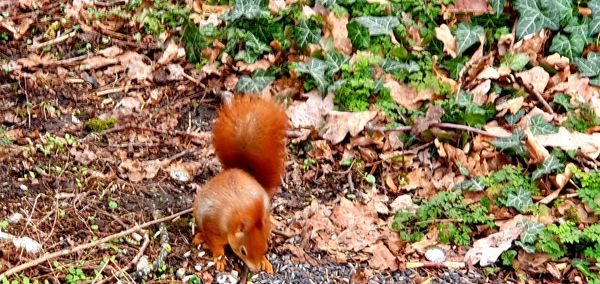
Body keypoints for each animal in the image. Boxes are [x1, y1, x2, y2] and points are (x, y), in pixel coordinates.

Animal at [191, 95, 288, 272]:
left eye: (266, 247)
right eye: (243, 251)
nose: (255, 269)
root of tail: (241, 171)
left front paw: (264, 261)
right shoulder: (212, 226)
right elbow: (215, 243)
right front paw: (219, 257)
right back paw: (200, 237)